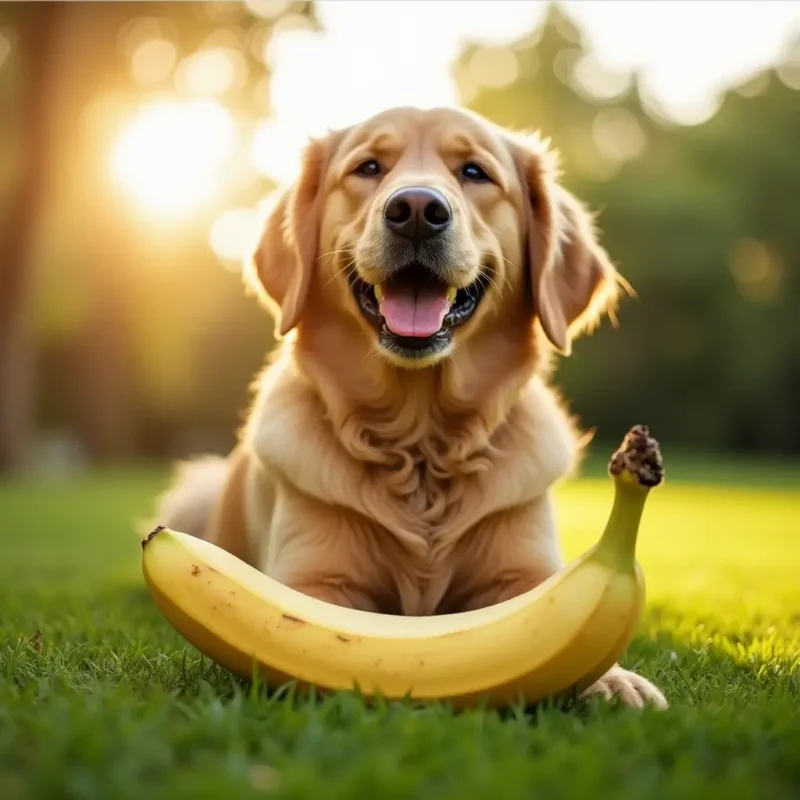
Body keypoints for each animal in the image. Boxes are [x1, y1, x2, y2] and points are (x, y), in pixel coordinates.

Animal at [153, 103, 664, 708]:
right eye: (369, 167)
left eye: (474, 172)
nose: (417, 210)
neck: (421, 445)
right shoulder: (315, 581)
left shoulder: (525, 573)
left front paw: (613, 680)